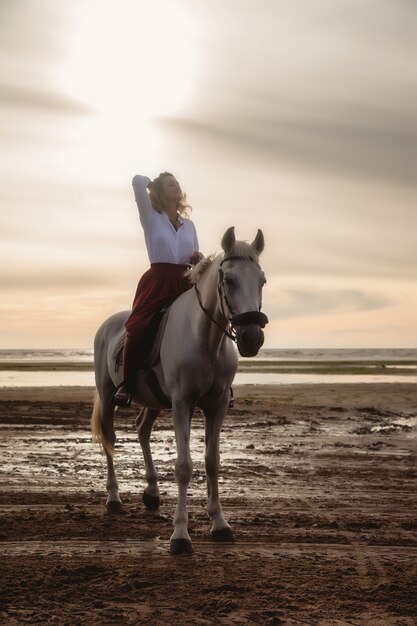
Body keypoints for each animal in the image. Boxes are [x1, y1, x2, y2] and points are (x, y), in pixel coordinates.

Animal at [90, 227, 266, 552]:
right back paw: (114, 498)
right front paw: (180, 535)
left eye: (262, 280)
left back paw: (152, 492)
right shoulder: (183, 403)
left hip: (155, 402)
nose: (252, 338)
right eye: (229, 280)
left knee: (142, 430)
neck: (206, 339)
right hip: (108, 396)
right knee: (110, 439)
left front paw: (220, 523)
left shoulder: (216, 406)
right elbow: (184, 466)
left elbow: (212, 462)